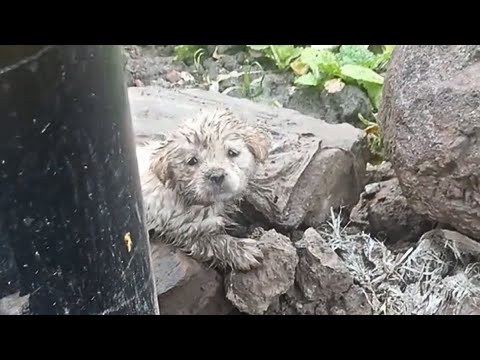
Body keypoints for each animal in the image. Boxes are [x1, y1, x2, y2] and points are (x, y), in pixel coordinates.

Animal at [138, 108, 270, 272]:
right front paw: (244, 251)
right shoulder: (185, 229)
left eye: (232, 153)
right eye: (192, 161)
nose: (216, 176)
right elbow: (216, 242)